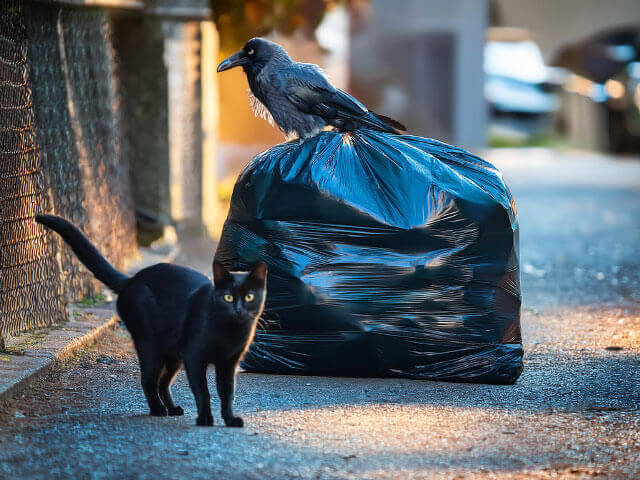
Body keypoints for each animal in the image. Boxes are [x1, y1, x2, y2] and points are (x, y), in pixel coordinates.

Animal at [36, 214, 266, 428]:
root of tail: (131, 279)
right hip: (150, 346)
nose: (238, 309)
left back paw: (172, 408)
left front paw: (230, 419)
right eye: (227, 297)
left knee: (163, 383)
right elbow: (203, 392)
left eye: (249, 297)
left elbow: (227, 394)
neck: (229, 332)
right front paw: (205, 419)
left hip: (172, 354)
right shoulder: (194, 357)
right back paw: (158, 410)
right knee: (148, 380)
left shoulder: (228, 363)